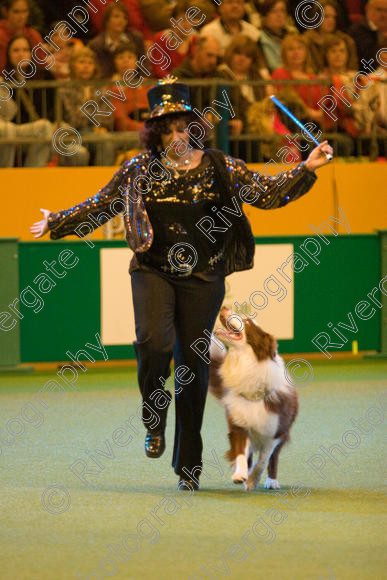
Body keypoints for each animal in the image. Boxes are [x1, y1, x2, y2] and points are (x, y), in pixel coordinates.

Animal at [211, 306, 298, 492]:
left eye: (248, 322)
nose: (224, 307)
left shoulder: (276, 431)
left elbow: (264, 459)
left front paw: (253, 479)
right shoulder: (239, 421)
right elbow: (241, 452)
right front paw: (240, 474)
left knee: (273, 458)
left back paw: (272, 481)